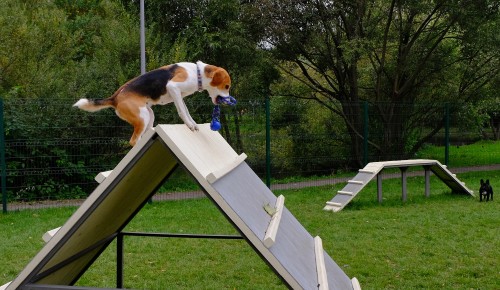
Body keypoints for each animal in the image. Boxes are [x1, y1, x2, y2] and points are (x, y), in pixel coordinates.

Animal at [73, 61, 232, 147]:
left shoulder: (179, 96)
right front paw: (190, 125)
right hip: (142, 116)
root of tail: (115, 97)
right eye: (226, 86)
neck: (197, 73)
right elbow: (182, 112)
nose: (229, 101)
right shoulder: (173, 87)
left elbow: (186, 111)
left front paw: (193, 123)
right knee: (133, 141)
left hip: (149, 114)